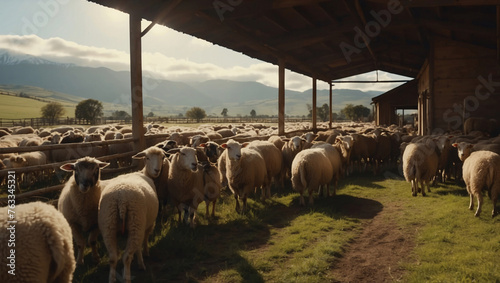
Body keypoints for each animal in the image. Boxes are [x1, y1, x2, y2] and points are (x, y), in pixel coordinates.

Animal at [97, 153, 160, 283]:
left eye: (161, 157)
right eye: (147, 157)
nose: (157, 170)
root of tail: (121, 199)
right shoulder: (146, 225)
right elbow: (143, 241)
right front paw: (143, 257)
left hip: (108, 225)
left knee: (113, 257)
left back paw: (112, 279)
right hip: (136, 223)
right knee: (126, 257)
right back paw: (127, 277)